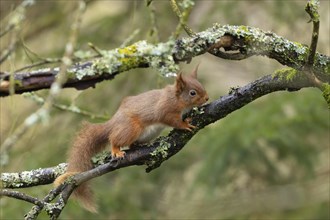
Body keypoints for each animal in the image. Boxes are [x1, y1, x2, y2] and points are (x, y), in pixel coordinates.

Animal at [54, 65, 209, 211]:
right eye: (192, 93)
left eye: (201, 85)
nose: (207, 98)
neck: (176, 98)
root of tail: (114, 122)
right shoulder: (166, 109)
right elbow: (173, 120)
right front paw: (185, 124)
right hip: (131, 129)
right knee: (114, 139)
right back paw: (116, 150)